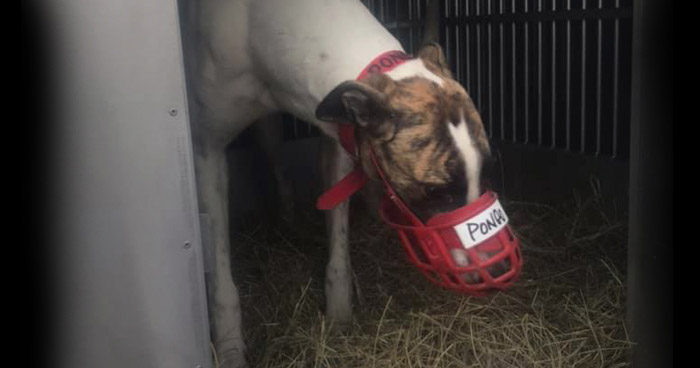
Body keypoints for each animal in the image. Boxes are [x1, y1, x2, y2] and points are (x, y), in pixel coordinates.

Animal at [178, 1, 490, 366]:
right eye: (437, 191)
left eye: (484, 171)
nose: (480, 278)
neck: (256, 22)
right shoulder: (206, 151)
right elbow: (220, 272)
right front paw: (229, 347)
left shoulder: (340, 137)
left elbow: (338, 240)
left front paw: (339, 316)